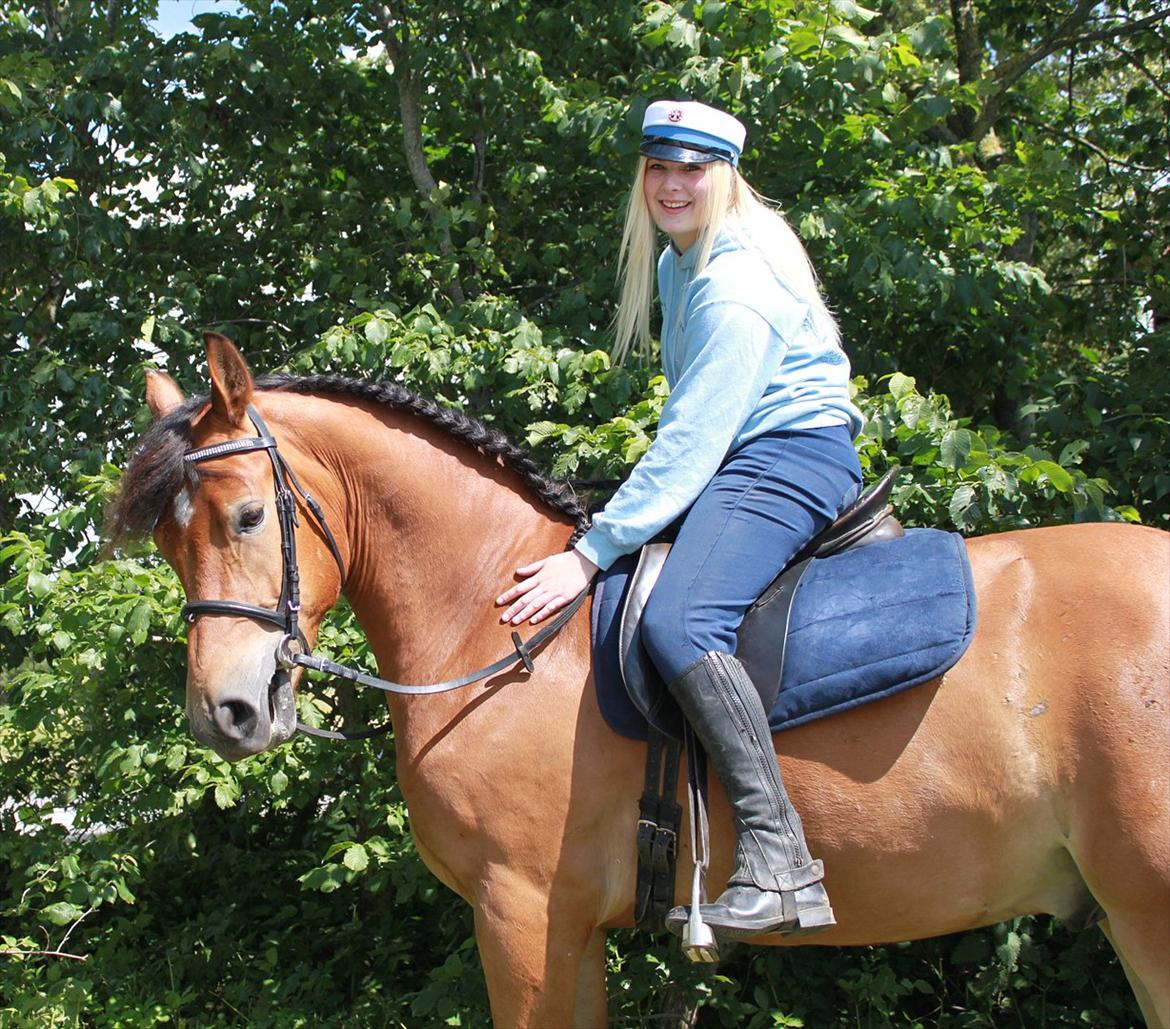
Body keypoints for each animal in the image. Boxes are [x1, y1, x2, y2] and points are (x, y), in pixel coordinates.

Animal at [114, 337, 1170, 1029]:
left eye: (249, 516)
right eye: (164, 540)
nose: (224, 713)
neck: (502, 620)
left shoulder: (522, 911)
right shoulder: (570, 928)